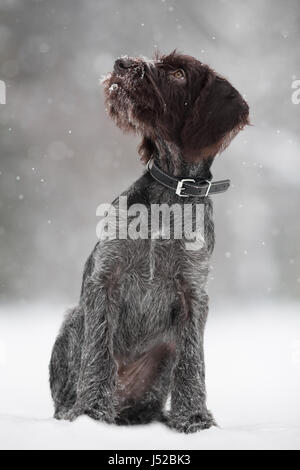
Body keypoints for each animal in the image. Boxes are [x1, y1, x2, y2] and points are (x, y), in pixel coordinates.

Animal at [49, 51, 250, 434]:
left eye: (178, 73)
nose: (122, 64)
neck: (169, 193)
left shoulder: (193, 293)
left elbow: (192, 361)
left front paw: (193, 419)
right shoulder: (104, 280)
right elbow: (97, 352)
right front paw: (91, 413)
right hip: (74, 319)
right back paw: (74, 411)